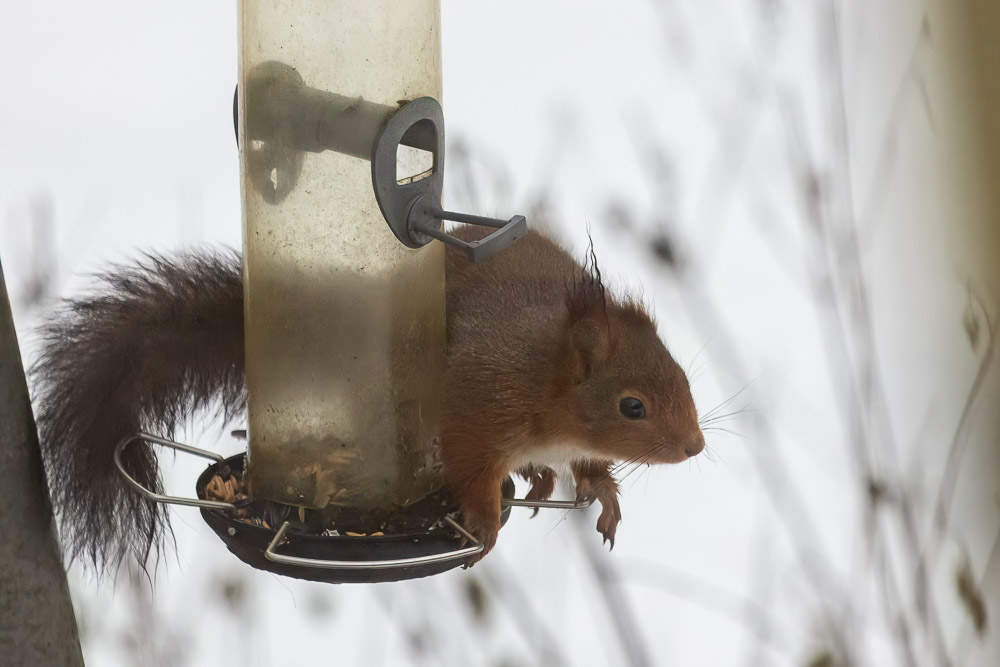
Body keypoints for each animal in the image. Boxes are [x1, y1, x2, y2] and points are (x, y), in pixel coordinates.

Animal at [33, 226, 704, 576]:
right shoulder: (477, 411)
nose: (696, 447)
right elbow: (473, 472)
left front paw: (605, 491)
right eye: (632, 407)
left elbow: (588, 465)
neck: (546, 385)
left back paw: (540, 477)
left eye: (682, 376)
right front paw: (485, 527)